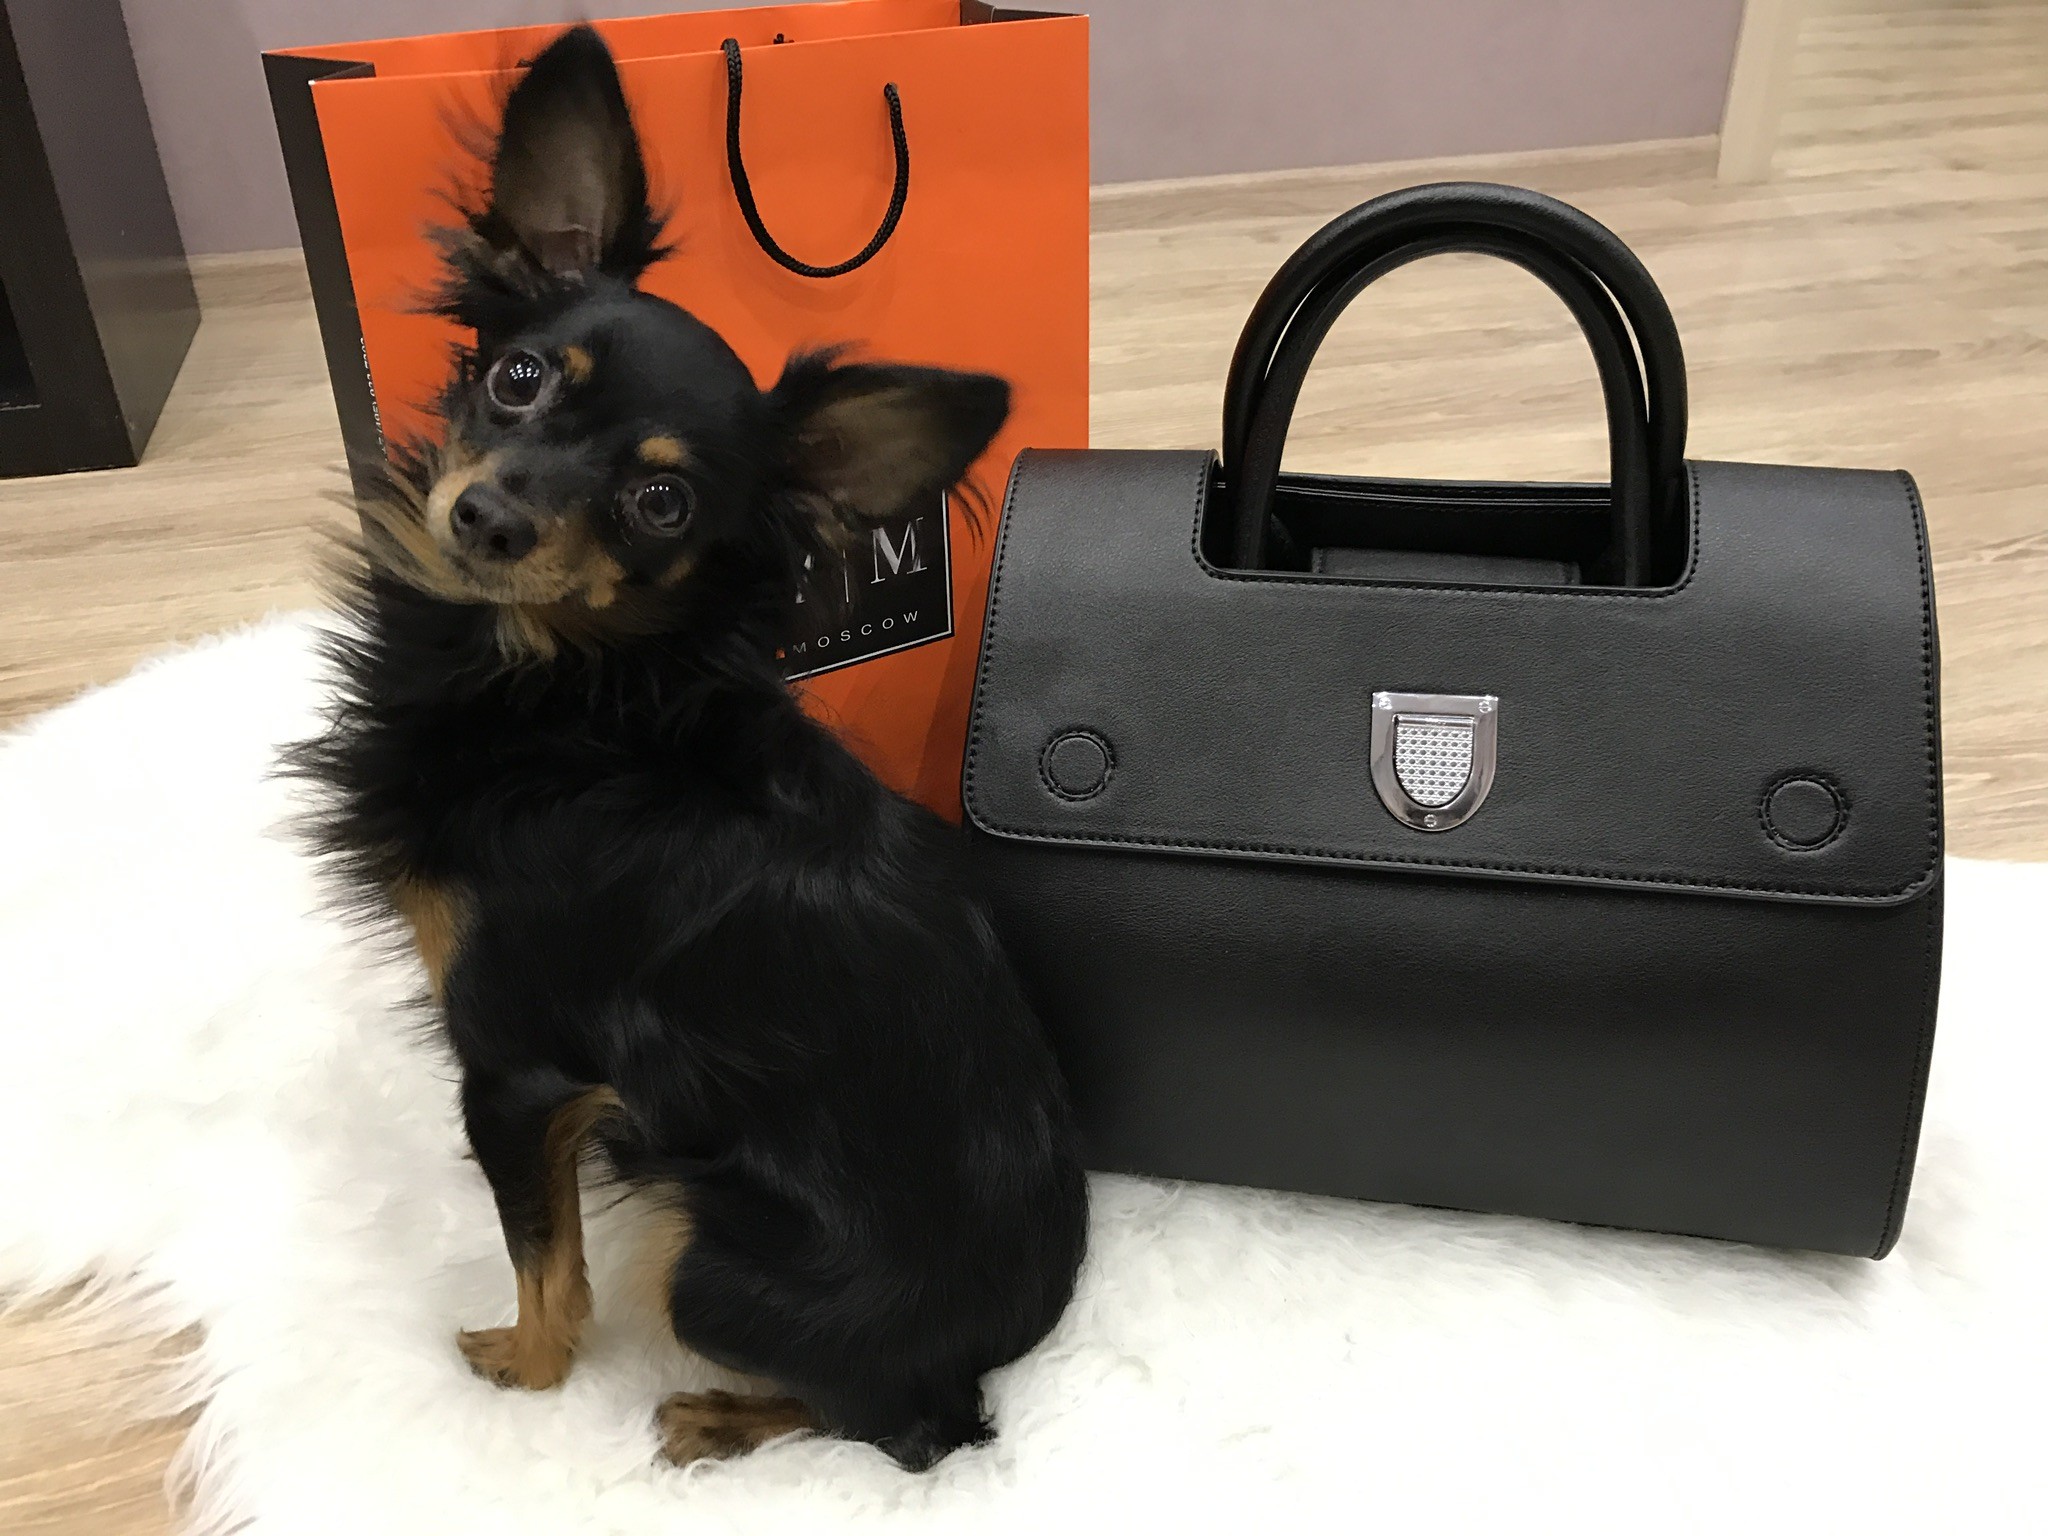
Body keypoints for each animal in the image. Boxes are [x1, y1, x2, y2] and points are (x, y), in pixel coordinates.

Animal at [288, 24, 1088, 1472]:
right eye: (518, 379)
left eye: (661, 501)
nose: (487, 519)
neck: (572, 692)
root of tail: (1000, 1359)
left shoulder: (515, 1069)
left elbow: (544, 1268)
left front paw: (522, 1371)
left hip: (698, 1252)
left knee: (900, 1428)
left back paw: (711, 1416)